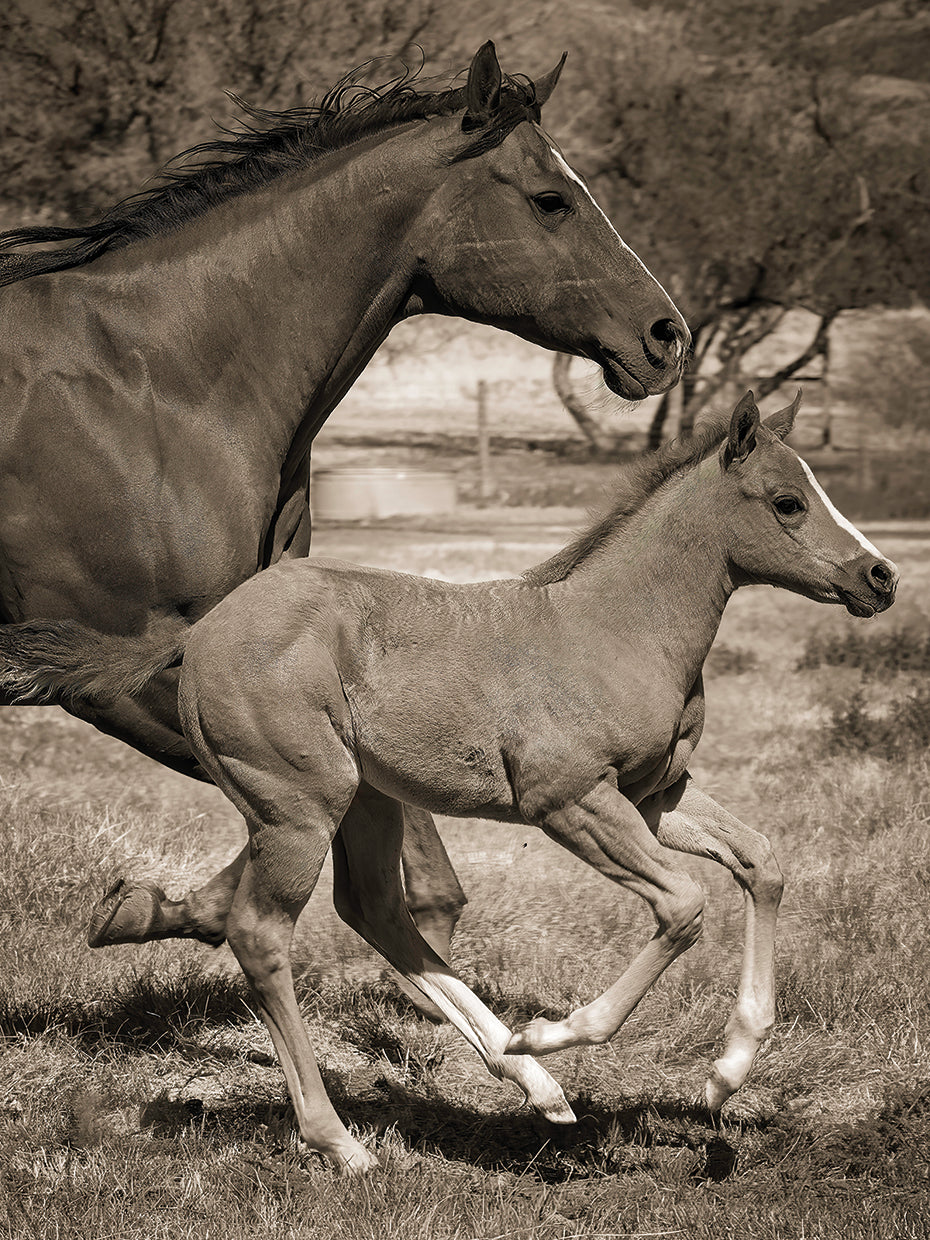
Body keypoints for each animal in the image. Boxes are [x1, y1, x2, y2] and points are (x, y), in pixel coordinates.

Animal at [0, 42, 689, 987]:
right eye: (552, 199)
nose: (667, 335)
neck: (155, 389)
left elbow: (403, 855)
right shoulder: (125, 666)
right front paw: (151, 909)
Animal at [0, 391, 898, 1173]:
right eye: (787, 501)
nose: (881, 577)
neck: (618, 628)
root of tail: (201, 631)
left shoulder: (655, 797)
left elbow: (763, 860)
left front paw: (728, 1069)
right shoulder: (571, 802)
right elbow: (683, 906)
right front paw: (559, 1032)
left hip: (366, 800)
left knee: (375, 912)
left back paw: (531, 1082)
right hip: (298, 809)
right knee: (262, 936)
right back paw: (348, 1140)